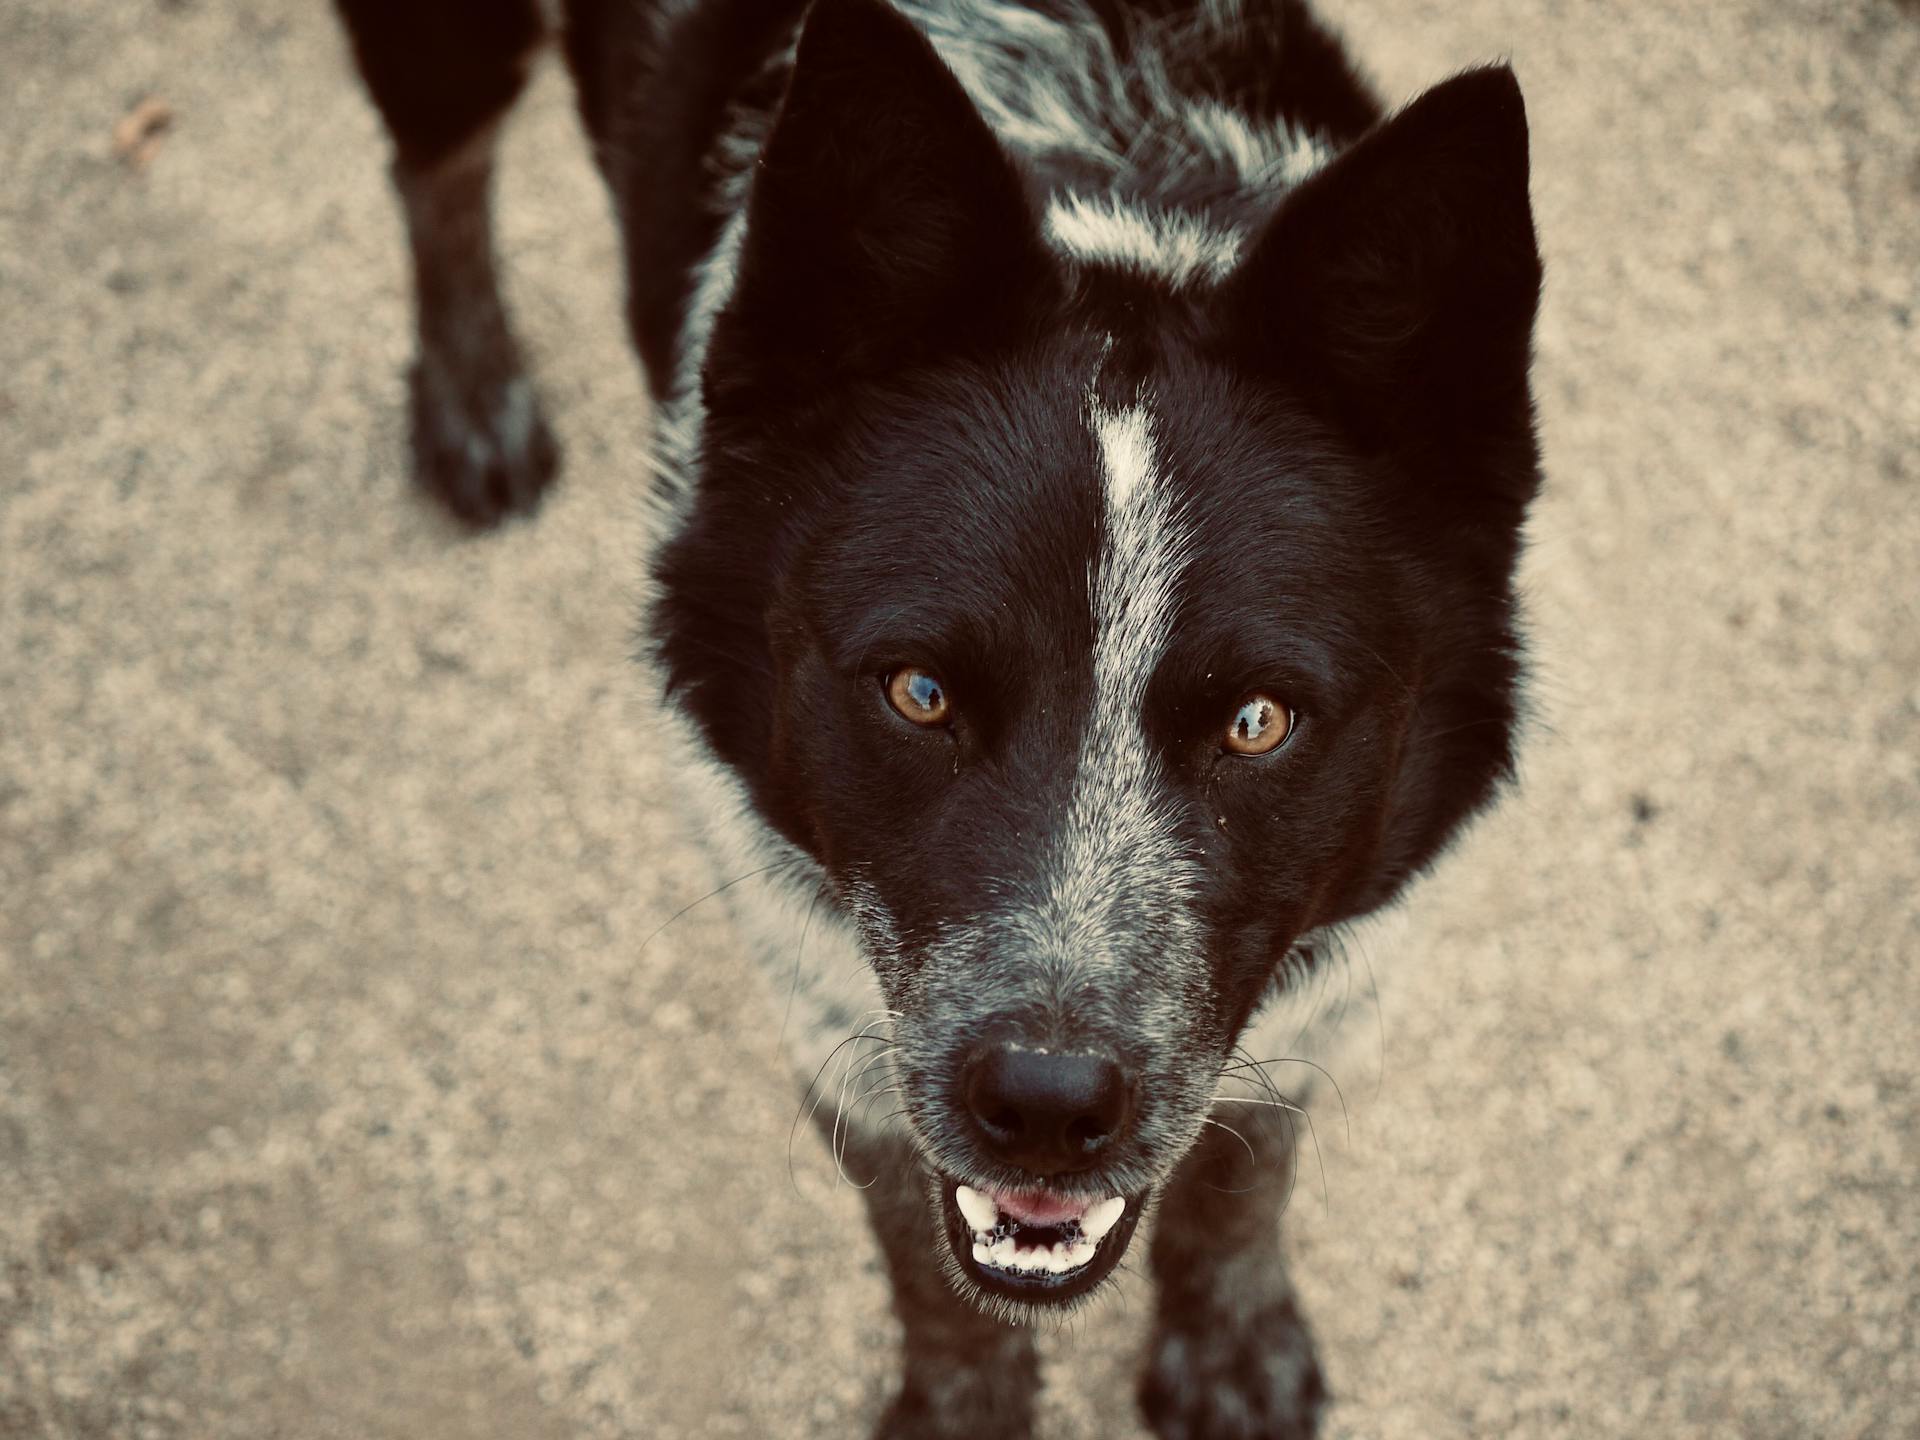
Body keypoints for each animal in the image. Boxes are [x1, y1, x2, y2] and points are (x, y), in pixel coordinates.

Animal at [337, 0, 1543, 1436]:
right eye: (919, 693)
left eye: (1260, 721)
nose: (1049, 1106)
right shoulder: (837, 1012)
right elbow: (928, 1264)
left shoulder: (1330, 969)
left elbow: (1245, 1167)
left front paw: (1230, 1342)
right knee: (437, 169)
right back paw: (472, 397)